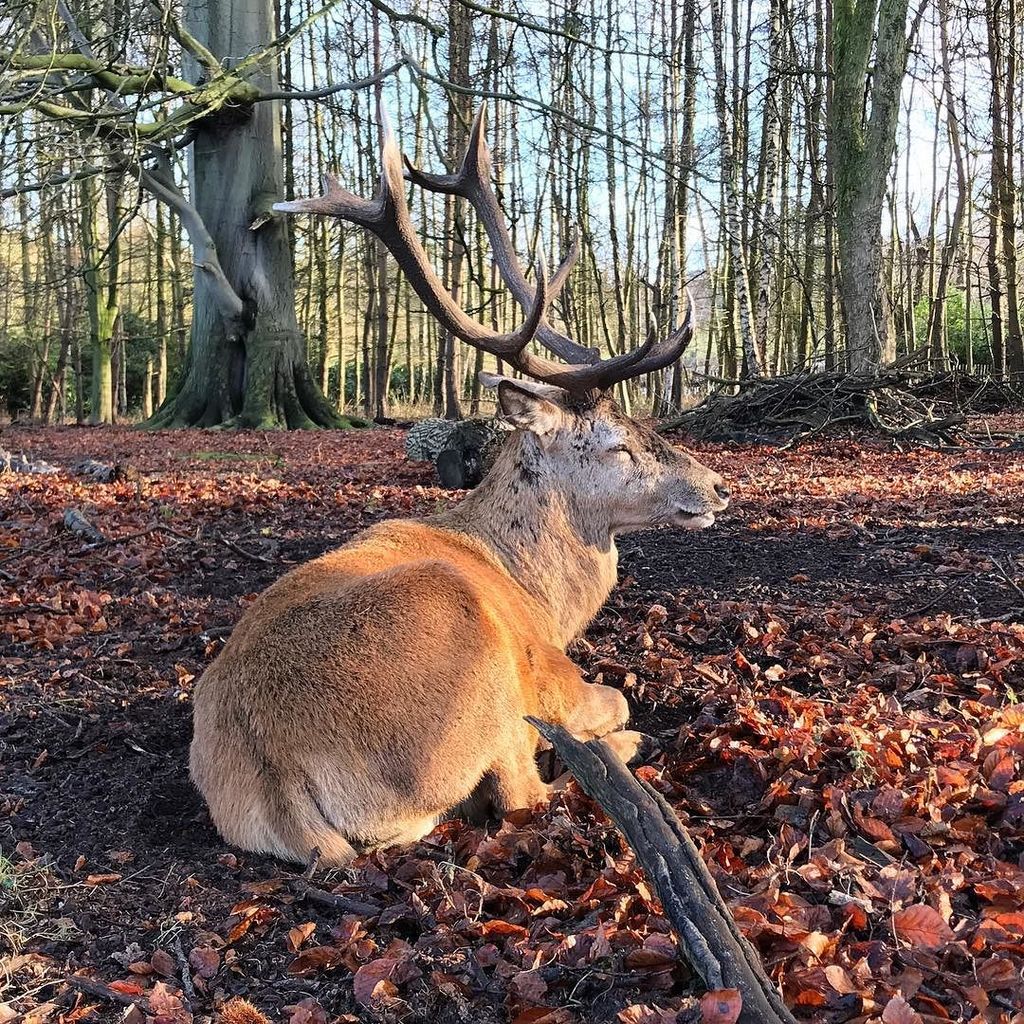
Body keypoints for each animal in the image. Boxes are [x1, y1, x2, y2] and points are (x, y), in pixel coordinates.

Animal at [189, 108, 730, 866]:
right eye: (618, 443)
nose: (717, 485)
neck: (543, 596)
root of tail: (275, 778)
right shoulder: (551, 674)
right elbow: (614, 699)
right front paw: (620, 725)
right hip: (479, 678)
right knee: (519, 794)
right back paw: (618, 748)